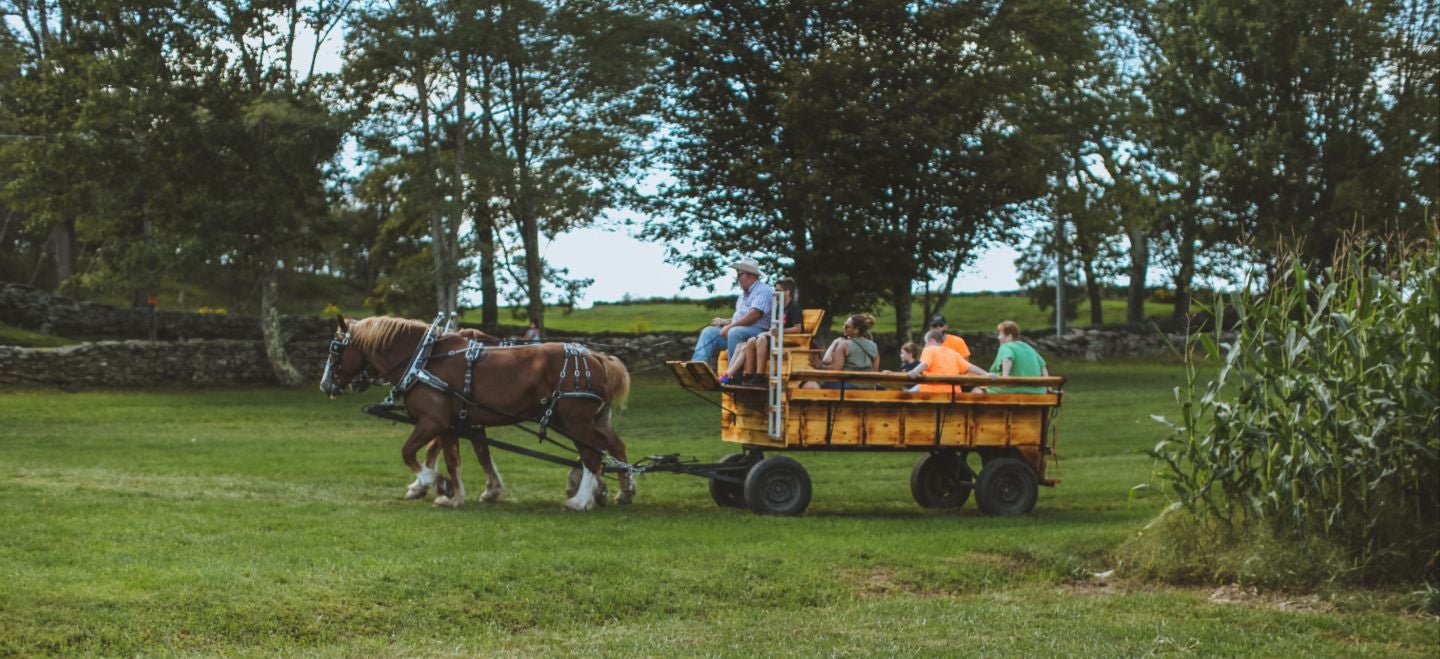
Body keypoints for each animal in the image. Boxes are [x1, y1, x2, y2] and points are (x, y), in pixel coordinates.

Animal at [321, 316, 636, 512]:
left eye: (335, 349)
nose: (325, 385)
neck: (424, 359)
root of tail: (597, 357)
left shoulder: (433, 421)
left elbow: (410, 452)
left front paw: (432, 483)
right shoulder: (454, 424)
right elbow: (457, 459)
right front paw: (456, 495)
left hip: (575, 419)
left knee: (592, 455)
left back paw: (581, 500)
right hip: (586, 419)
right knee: (611, 447)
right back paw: (620, 490)